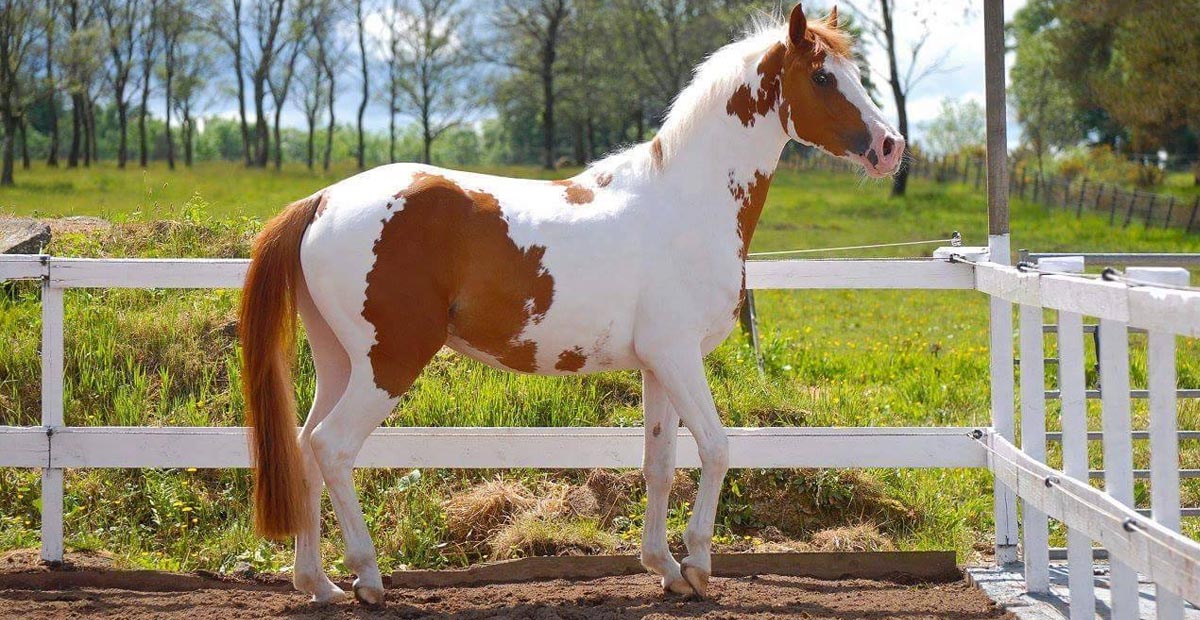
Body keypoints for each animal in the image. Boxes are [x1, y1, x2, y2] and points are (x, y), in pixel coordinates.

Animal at [238, 4, 902, 604]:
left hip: (340, 361)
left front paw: (664, 568)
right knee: (332, 447)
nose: (891, 146)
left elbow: (660, 463)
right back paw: (368, 579)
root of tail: (322, 200)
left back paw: (318, 584)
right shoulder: (680, 356)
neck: (688, 200)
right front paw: (698, 566)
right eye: (822, 76)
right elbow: (716, 449)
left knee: (304, 446)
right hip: (391, 362)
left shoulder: (658, 365)